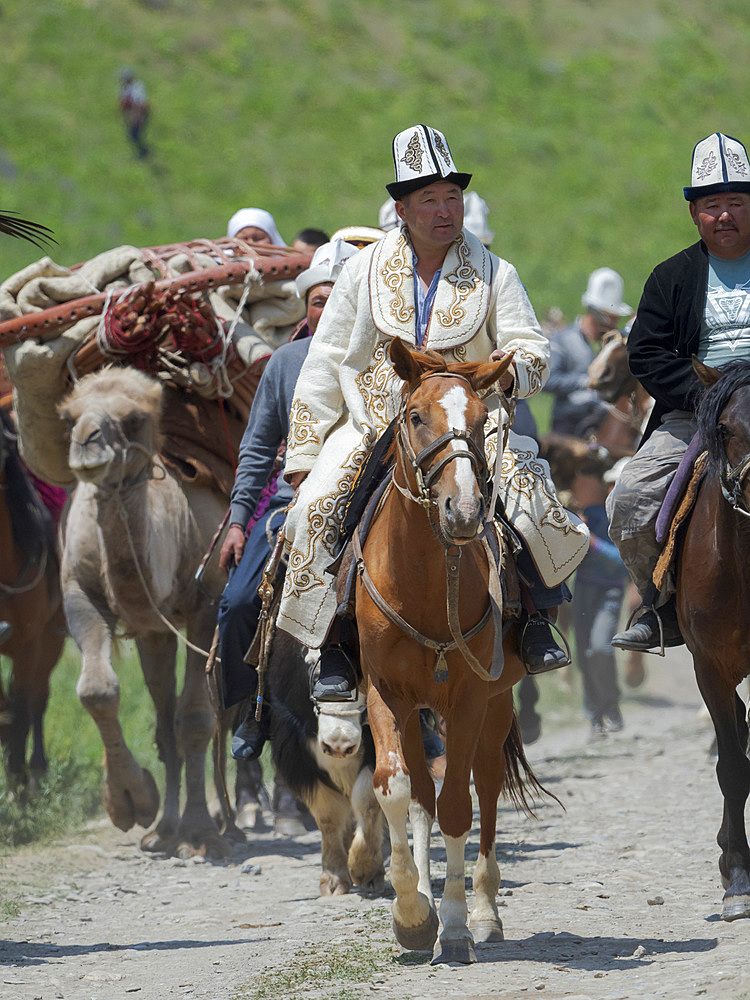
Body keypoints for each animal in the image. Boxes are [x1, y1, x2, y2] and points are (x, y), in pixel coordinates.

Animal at [58, 368, 231, 860]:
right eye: (69, 418)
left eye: (134, 419)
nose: (86, 443)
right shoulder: (81, 593)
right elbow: (97, 690)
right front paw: (131, 803)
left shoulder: (208, 603)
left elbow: (196, 719)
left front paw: (198, 834)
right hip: (158, 634)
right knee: (167, 714)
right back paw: (165, 829)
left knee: (222, 713)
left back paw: (230, 825)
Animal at [356, 340, 548, 964]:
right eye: (416, 416)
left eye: (484, 419)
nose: (462, 512)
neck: (423, 583)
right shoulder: (384, 693)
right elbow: (395, 788)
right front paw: (413, 914)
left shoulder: (468, 699)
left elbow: (459, 807)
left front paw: (459, 925)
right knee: (420, 792)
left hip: (497, 704)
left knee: (484, 787)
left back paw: (485, 911)